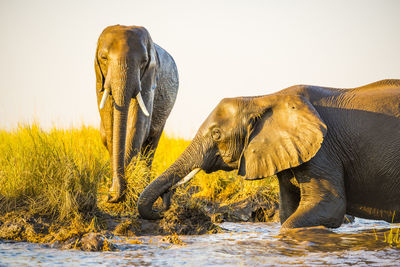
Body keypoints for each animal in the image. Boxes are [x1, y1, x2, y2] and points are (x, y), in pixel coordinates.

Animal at [95, 26, 178, 204]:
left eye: (144, 62)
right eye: (103, 58)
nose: (108, 197)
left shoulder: (149, 78)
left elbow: (138, 123)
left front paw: (124, 191)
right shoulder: (99, 78)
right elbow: (108, 122)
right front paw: (115, 190)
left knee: (151, 144)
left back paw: (144, 187)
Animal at [138, 79, 400, 230]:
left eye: (216, 134)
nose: (164, 207)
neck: (263, 98)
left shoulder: (324, 150)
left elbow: (328, 206)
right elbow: (287, 211)